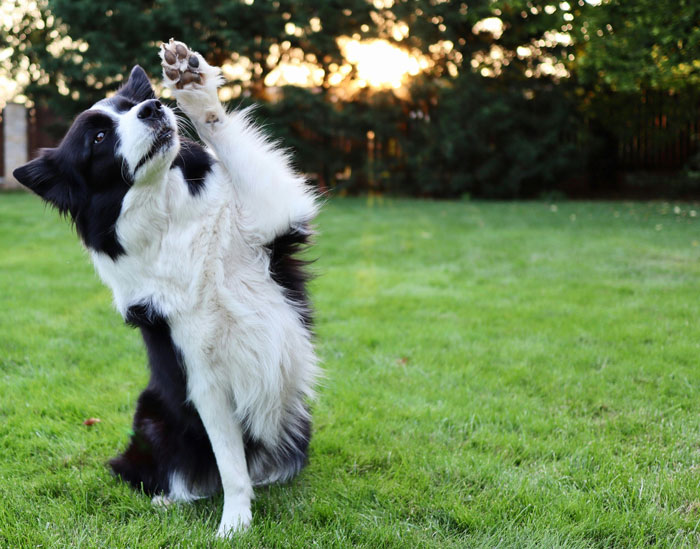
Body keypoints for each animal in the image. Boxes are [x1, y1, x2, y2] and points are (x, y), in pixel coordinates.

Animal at [12, 40, 318, 536]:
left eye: (131, 105)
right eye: (98, 138)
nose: (154, 107)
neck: (172, 218)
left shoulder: (272, 220)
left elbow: (223, 135)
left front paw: (192, 88)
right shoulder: (202, 375)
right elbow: (230, 465)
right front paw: (235, 525)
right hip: (151, 413)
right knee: (170, 473)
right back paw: (168, 500)